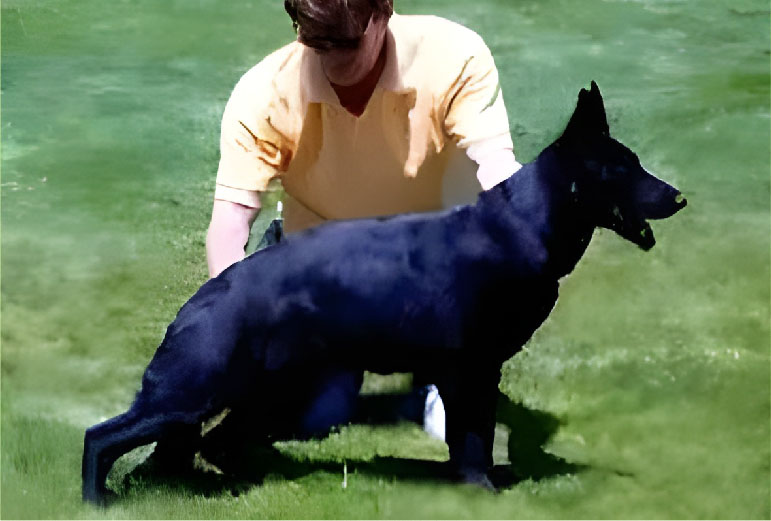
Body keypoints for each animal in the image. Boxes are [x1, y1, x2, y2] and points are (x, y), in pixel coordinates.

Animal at [83, 83, 688, 502]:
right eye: (623, 169)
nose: (680, 198)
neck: (523, 226)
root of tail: (203, 298)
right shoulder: (473, 370)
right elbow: (475, 438)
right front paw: (483, 491)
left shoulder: (469, 372)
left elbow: (467, 438)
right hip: (195, 394)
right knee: (101, 437)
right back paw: (98, 501)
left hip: (253, 392)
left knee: (210, 443)